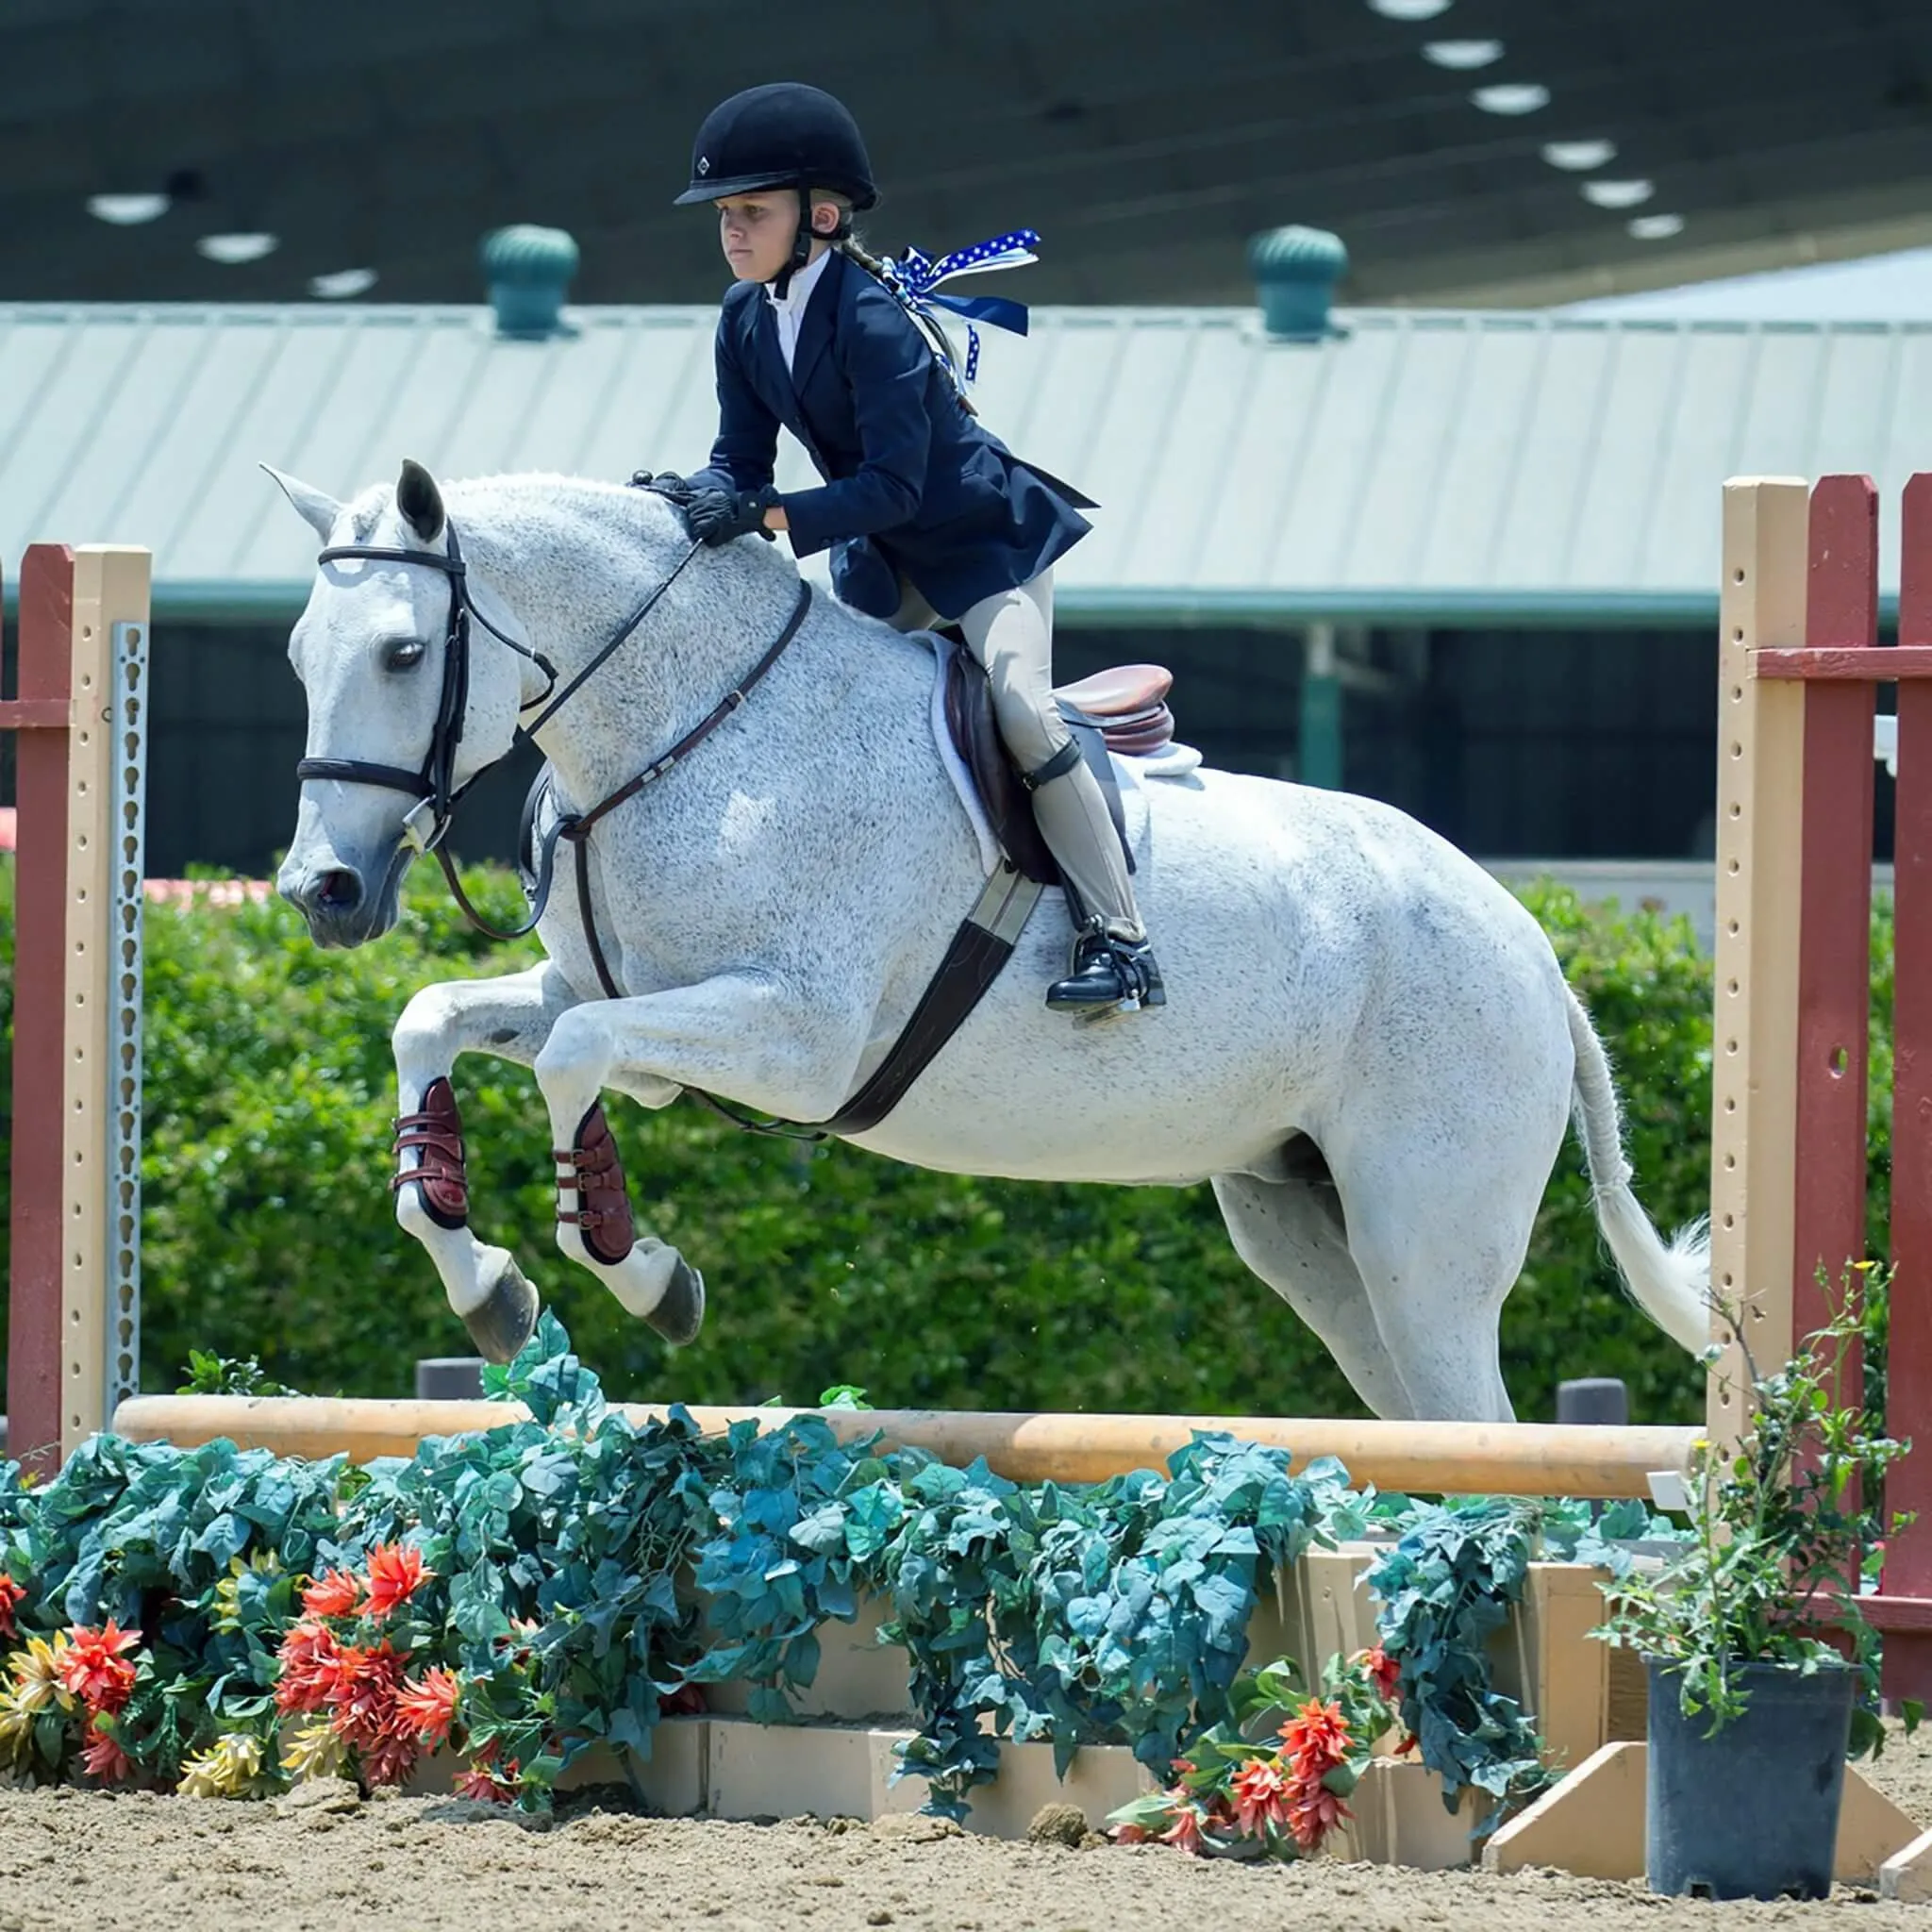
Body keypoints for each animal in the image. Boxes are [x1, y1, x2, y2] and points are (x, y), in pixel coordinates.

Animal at [268, 452, 1707, 1422]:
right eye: (297, 657)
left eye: (402, 654)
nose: (324, 892)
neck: (686, 728)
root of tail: (1529, 944)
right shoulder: (602, 992)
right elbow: (437, 1023)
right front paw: (489, 1285)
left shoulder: (795, 1040)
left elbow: (574, 1062)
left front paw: (644, 1276)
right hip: (1305, 1225)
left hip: (1424, 1235)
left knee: (1486, 1433)